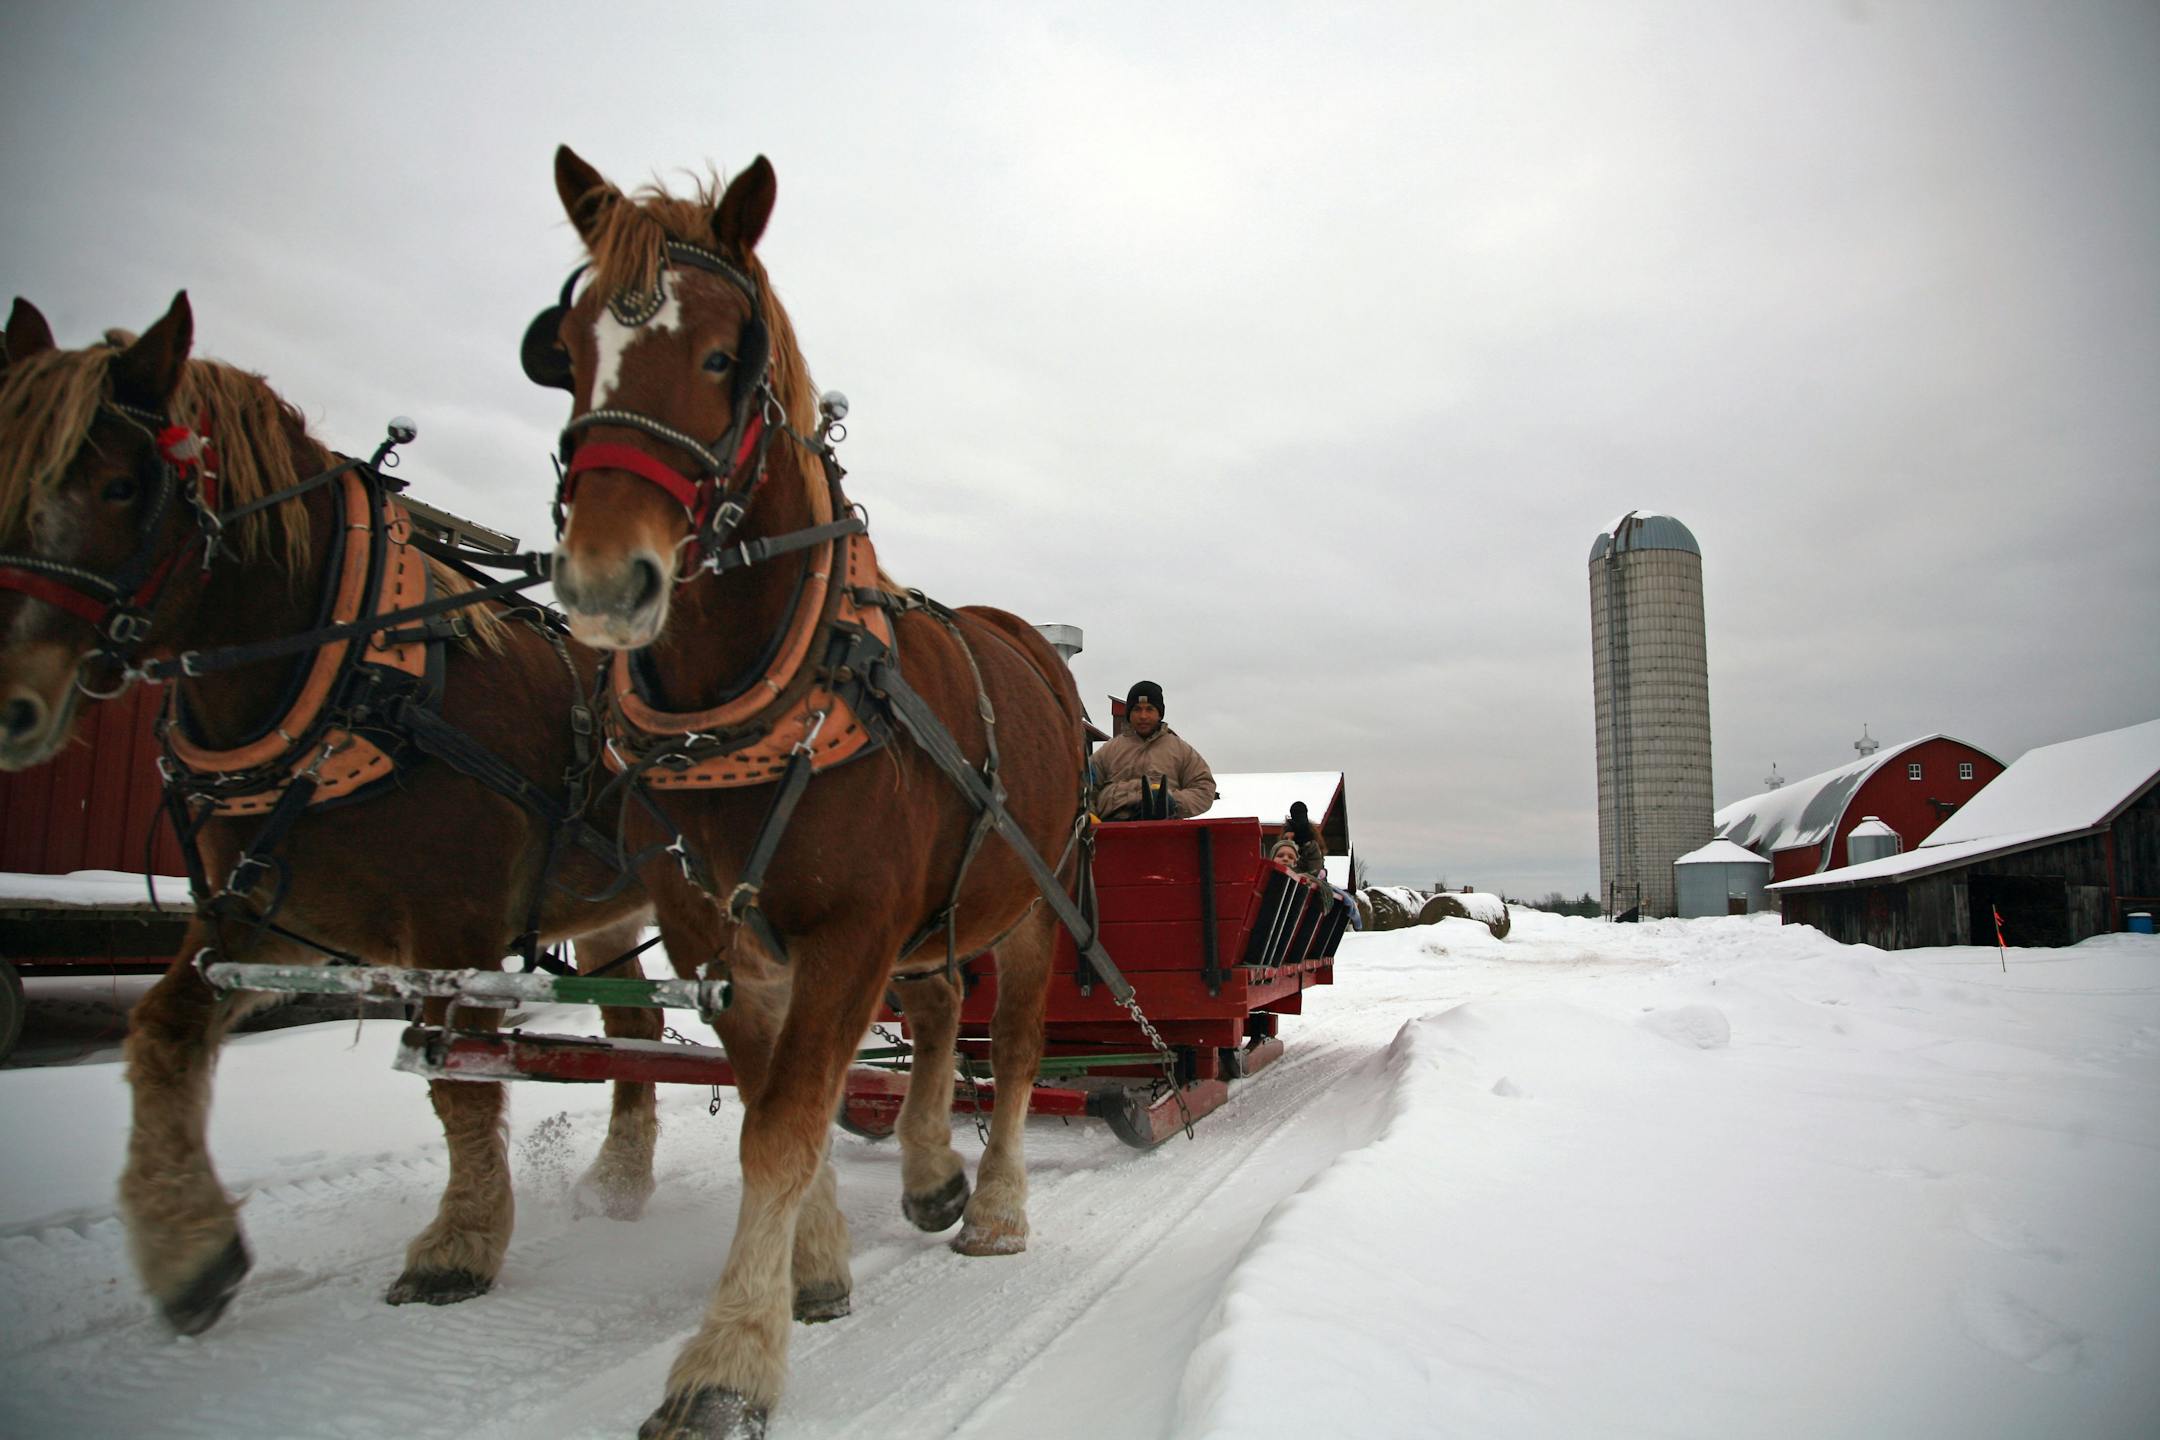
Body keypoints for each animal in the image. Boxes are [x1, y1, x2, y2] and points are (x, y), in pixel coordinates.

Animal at [0, 294, 662, 1336]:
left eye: (119, 486)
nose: (9, 702)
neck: (352, 679)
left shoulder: (456, 921)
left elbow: (457, 1079)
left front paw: (458, 1247)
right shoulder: (262, 909)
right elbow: (163, 1030)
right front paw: (191, 1253)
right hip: (609, 910)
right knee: (638, 1031)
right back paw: (621, 1183)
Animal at [533, 147, 1088, 1438]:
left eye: (723, 357)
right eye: (565, 350)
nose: (605, 583)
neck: (758, 694)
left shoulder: (847, 929)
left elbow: (783, 1125)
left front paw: (728, 1357)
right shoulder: (714, 932)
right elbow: (776, 1101)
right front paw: (818, 1271)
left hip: (1033, 904)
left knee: (1017, 1049)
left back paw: (993, 1207)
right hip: (934, 916)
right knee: (940, 1012)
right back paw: (931, 1172)